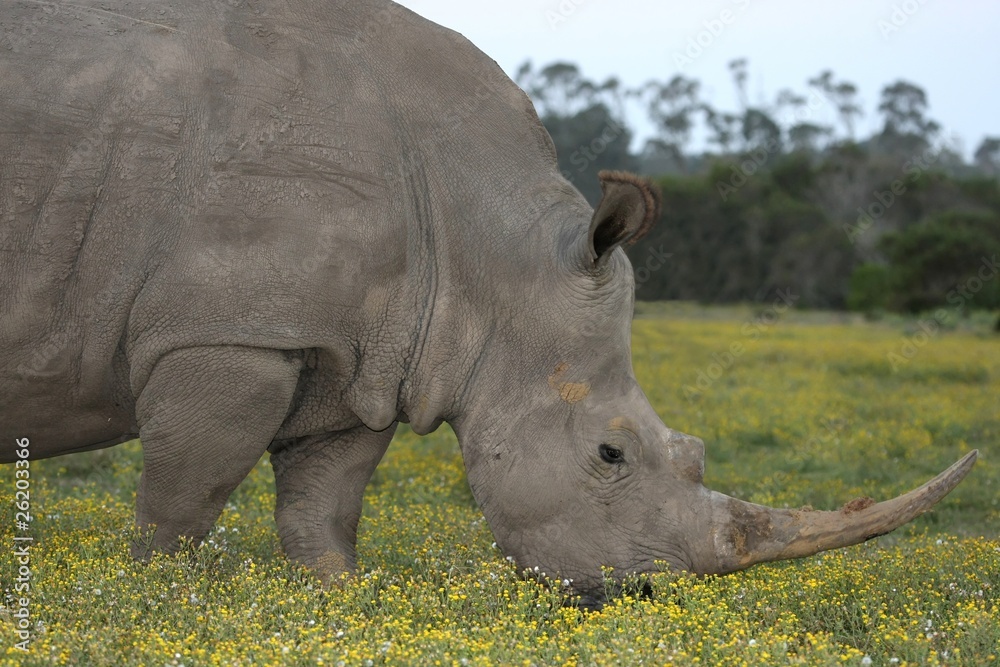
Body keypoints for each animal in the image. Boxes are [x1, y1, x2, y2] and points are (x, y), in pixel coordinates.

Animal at [0, 0, 977, 607]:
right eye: (611, 454)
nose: (651, 592)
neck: (491, 251)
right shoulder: (229, 330)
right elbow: (181, 504)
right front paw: (150, 604)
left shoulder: (362, 353)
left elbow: (323, 508)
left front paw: (334, 608)